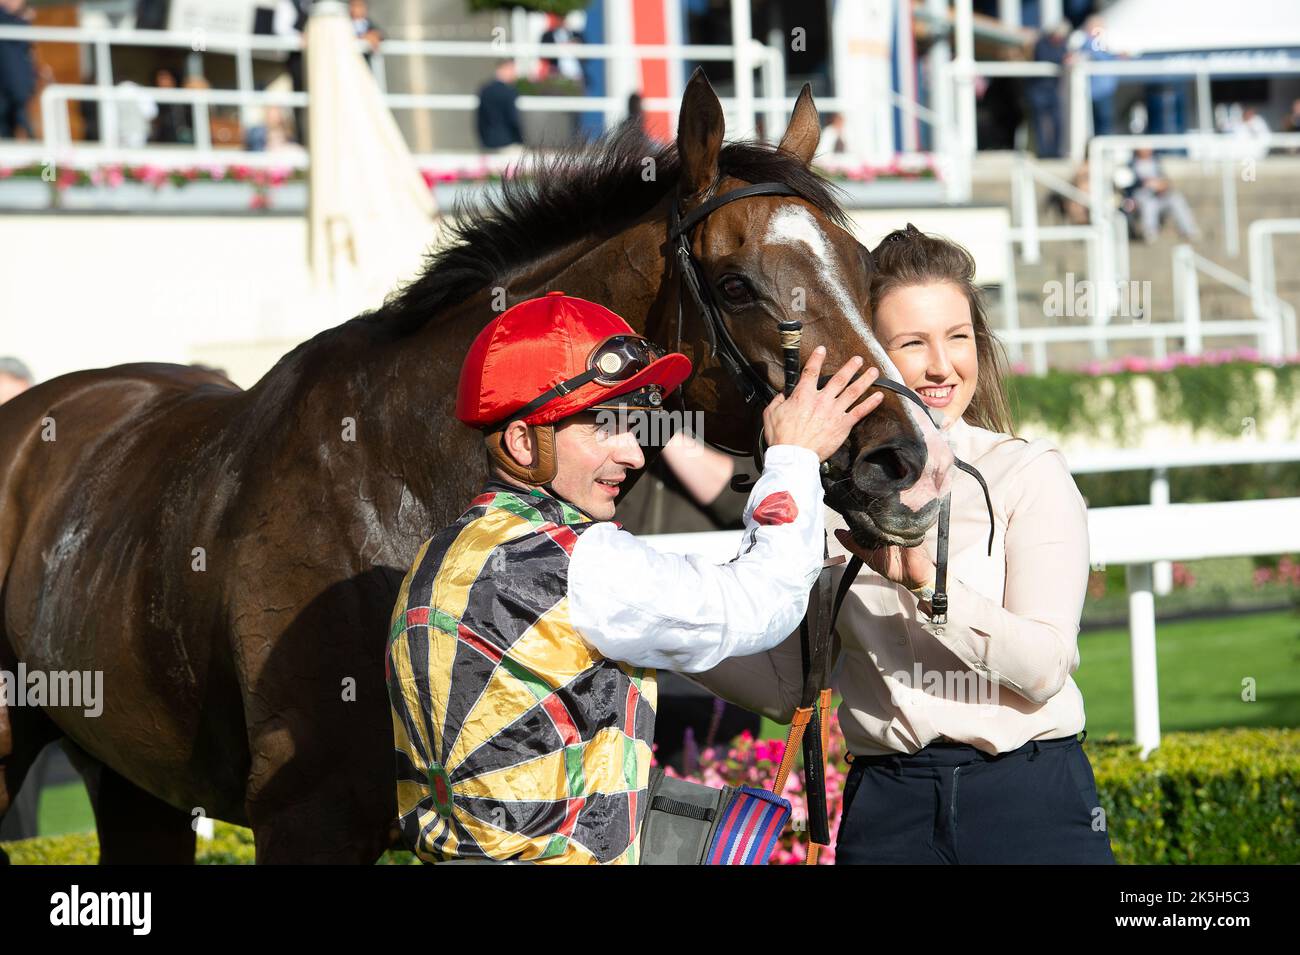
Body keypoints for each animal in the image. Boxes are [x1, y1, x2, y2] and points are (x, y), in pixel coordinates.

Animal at [0, 72, 956, 867]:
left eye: (863, 269)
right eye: (735, 285)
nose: (909, 461)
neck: (395, 478)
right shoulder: (306, 819)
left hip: (132, 774)